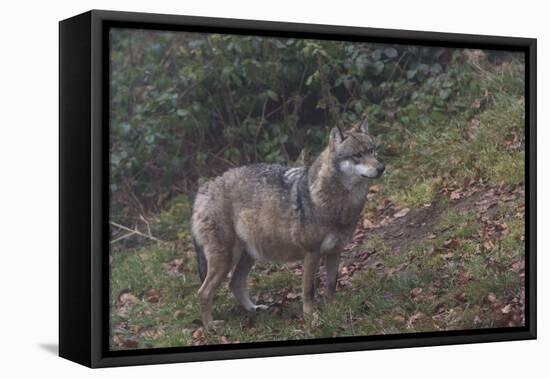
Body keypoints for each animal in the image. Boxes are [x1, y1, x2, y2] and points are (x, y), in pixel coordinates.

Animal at [192, 119, 386, 328]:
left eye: (373, 150)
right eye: (358, 155)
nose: (381, 167)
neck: (336, 204)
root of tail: (203, 190)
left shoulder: (335, 251)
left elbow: (331, 285)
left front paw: (333, 309)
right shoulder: (311, 253)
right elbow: (309, 290)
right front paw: (311, 317)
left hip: (248, 256)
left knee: (234, 283)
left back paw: (254, 310)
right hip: (225, 260)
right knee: (203, 292)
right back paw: (211, 327)